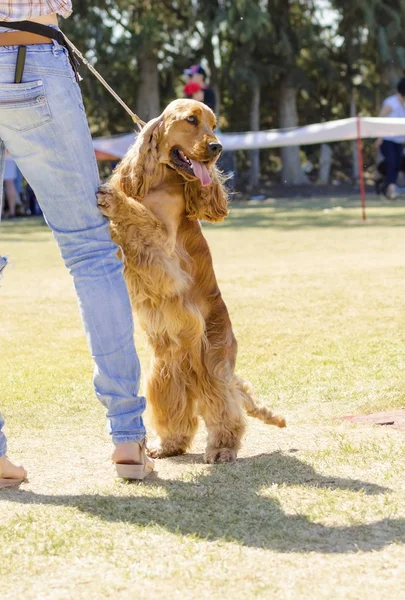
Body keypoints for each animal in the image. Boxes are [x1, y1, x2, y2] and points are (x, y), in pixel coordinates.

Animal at [96, 99, 284, 464]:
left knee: (226, 410)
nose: (216, 148)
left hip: (212, 365)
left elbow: (140, 221)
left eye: (214, 124)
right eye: (192, 120)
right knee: (179, 415)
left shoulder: (165, 253)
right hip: (164, 375)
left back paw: (222, 449)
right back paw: (167, 445)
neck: (160, 182)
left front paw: (115, 200)